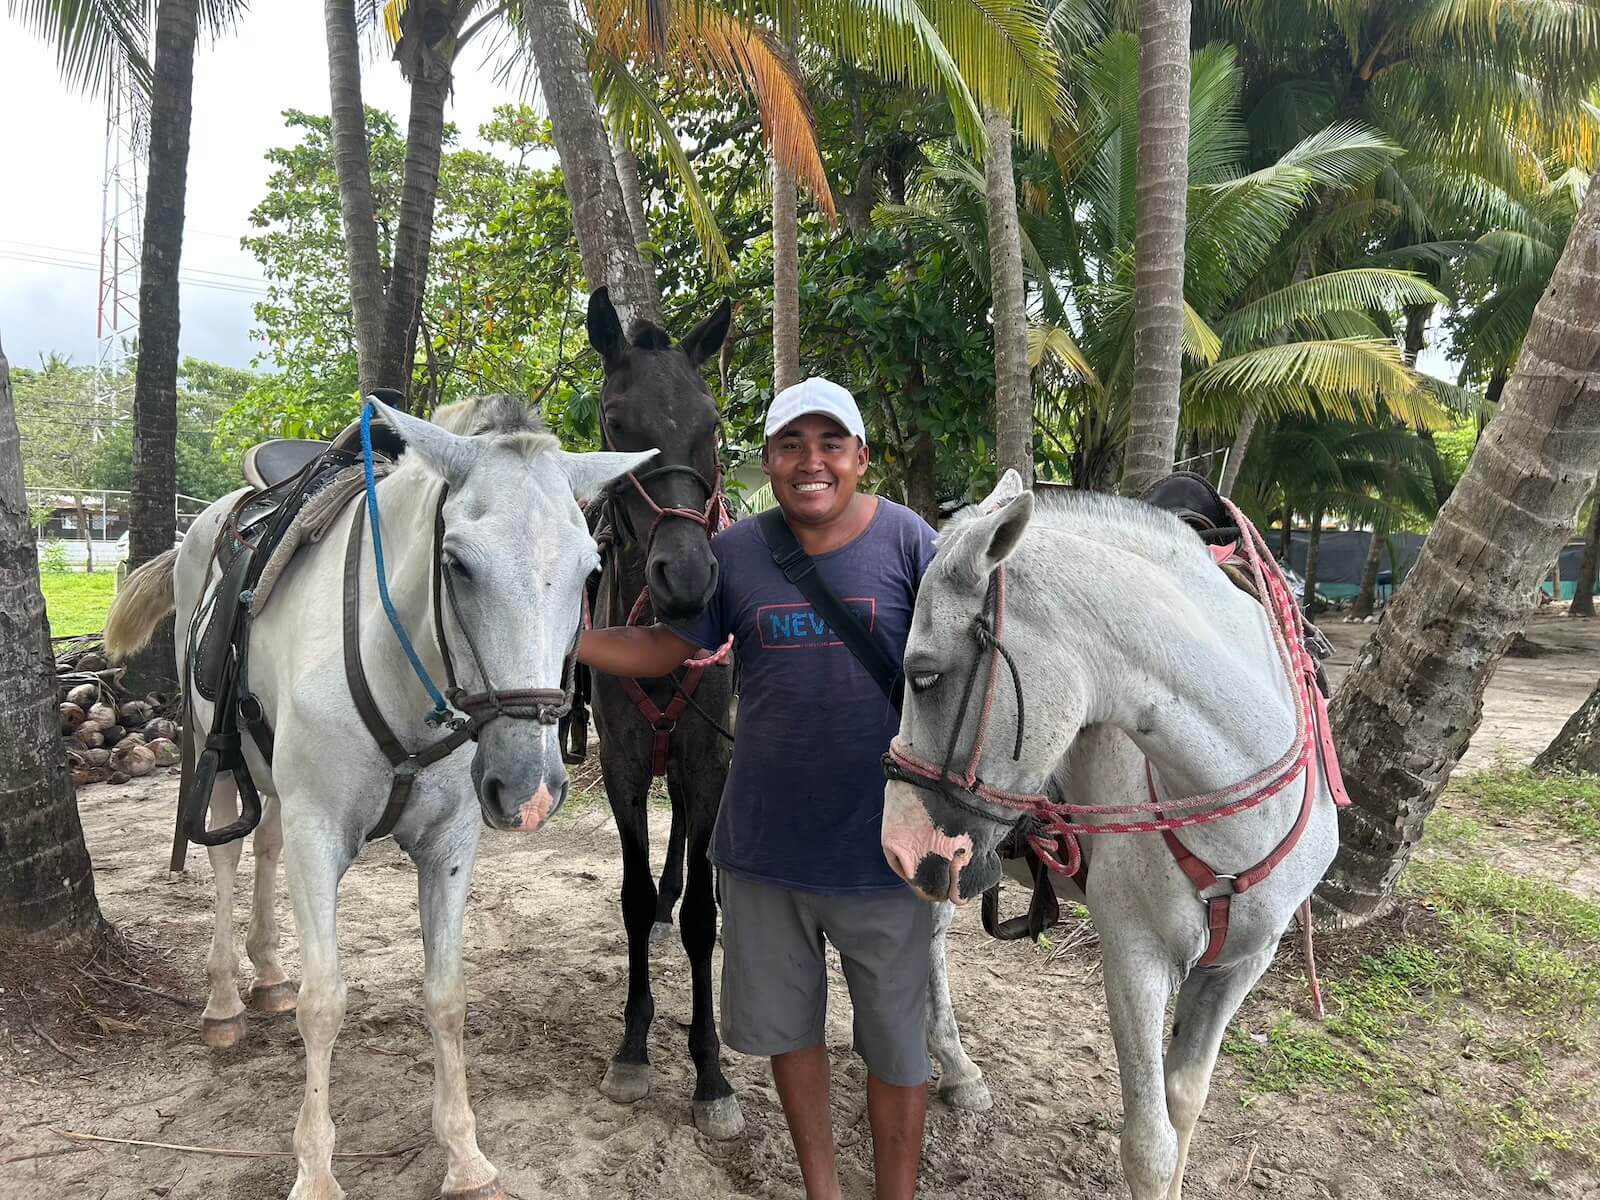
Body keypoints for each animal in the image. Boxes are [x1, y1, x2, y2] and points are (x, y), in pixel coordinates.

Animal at [106, 396, 649, 1200]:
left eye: (590, 570)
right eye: (457, 564)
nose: (529, 790)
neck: (397, 666)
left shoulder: (449, 843)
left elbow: (447, 997)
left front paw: (465, 1155)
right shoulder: (319, 832)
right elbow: (324, 1002)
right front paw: (315, 1170)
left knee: (264, 846)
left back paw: (267, 974)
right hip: (216, 753)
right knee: (229, 856)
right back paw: (226, 1001)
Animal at [883, 473, 1344, 1200]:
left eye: (924, 675)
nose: (899, 841)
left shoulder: (1242, 965)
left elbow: (1184, 1107)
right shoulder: (1135, 957)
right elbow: (1149, 1146)